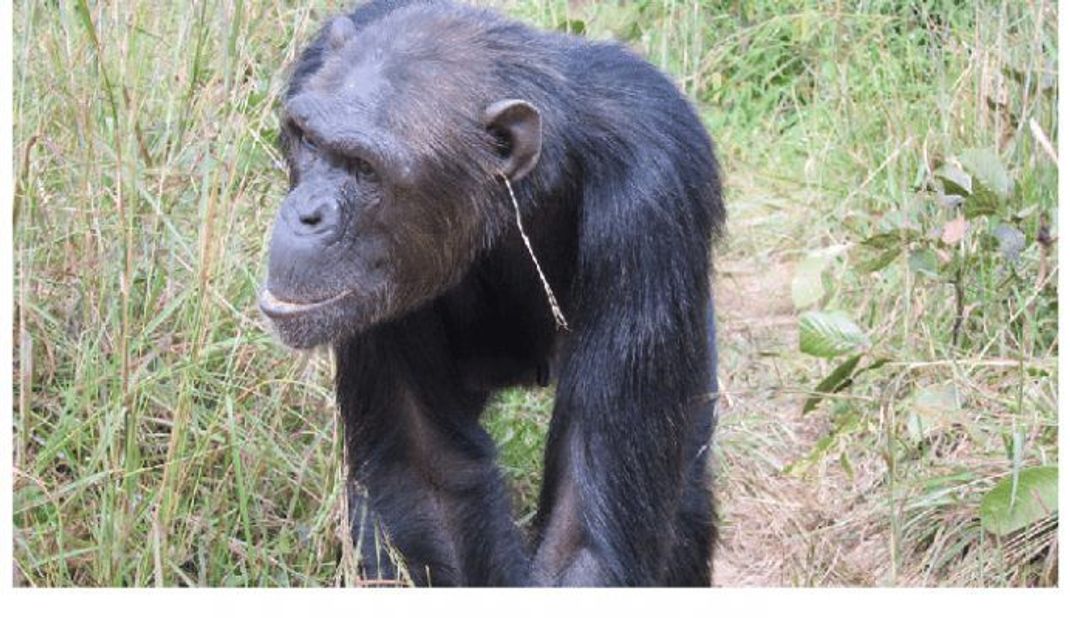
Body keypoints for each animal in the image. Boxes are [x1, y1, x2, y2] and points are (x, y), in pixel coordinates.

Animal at [261, 0, 727, 585]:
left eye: (366, 169)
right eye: (309, 139)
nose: (307, 214)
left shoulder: (656, 197)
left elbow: (579, 540)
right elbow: (431, 482)